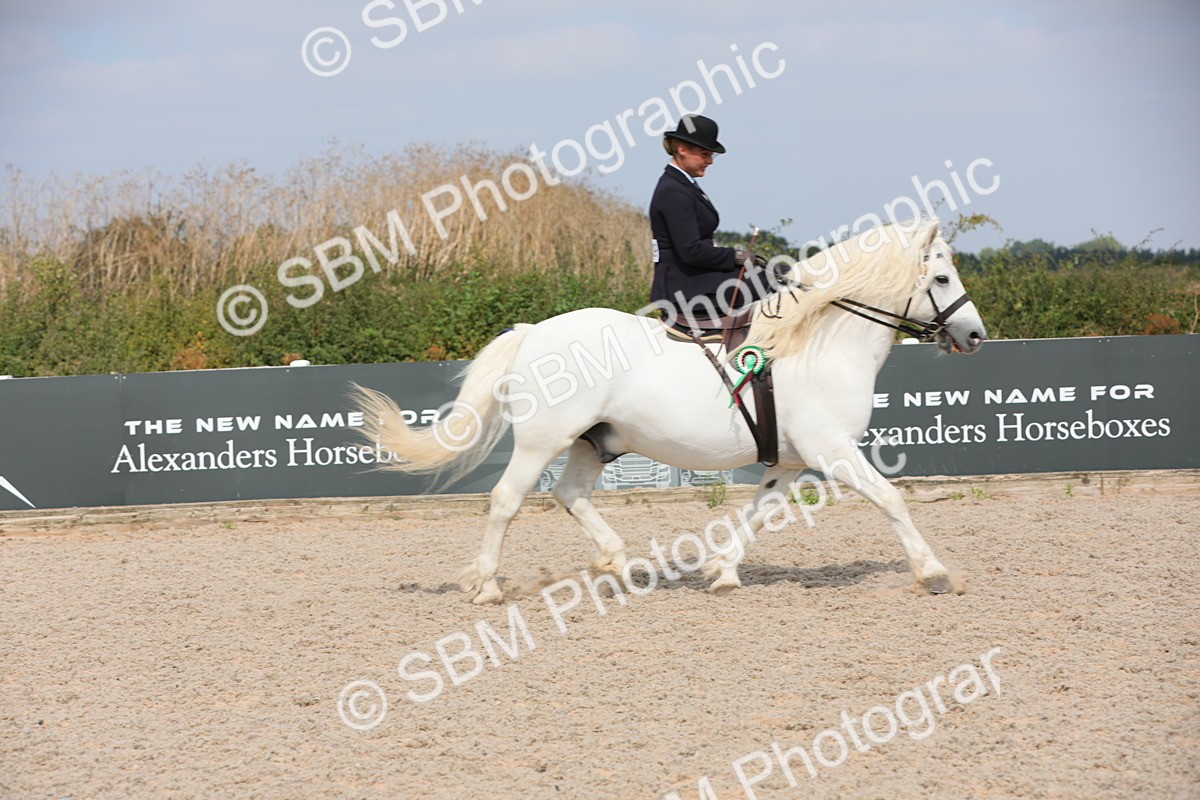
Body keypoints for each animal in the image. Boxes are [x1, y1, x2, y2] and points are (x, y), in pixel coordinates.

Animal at [352, 218, 987, 604]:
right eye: (940, 276)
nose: (975, 335)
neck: (817, 343)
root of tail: (532, 331)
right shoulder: (832, 450)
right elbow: (891, 500)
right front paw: (933, 573)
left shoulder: (788, 461)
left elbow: (757, 514)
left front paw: (723, 574)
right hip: (542, 440)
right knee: (506, 501)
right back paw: (487, 586)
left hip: (595, 440)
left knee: (570, 494)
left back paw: (618, 563)